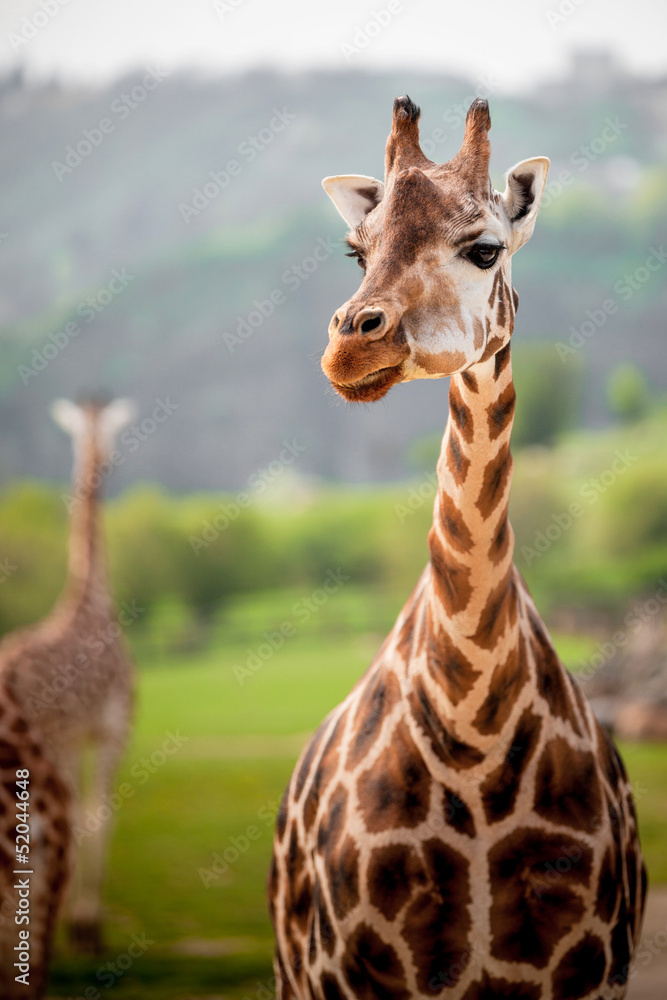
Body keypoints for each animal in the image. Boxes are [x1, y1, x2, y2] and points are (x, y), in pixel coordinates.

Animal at [269, 98, 646, 1000]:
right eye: (357, 251)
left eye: (484, 249)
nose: (350, 347)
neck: (472, 738)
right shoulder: (345, 978)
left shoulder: (587, 976)